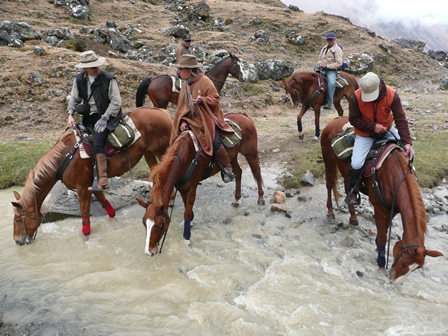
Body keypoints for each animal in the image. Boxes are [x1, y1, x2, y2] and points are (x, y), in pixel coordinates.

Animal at [11, 107, 173, 244]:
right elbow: (106, 204)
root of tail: (161, 112)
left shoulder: (82, 188)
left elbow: (85, 214)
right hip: (149, 153)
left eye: (18, 219)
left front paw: (85, 237)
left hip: (162, 151)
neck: (65, 158)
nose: (18, 241)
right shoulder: (92, 185)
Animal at [136, 111, 266, 256]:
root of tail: (244, 116)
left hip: (250, 153)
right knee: (238, 172)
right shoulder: (182, 187)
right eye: (144, 223)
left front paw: (186, 237)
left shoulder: (192, 188)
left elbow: (186, 212)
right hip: (232, 156)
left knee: (257, 173)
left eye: (159, 225)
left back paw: (261, 198)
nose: (149, 252)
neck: (185, 157)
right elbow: (186, 206)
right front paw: (191, 222)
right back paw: (236, 199)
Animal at [320, 117, 442, 284]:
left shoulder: (392, 209)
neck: (392, 174)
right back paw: (330, 212)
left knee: (347, 188)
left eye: (416, 269)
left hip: (346, 172)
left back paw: (353, 217)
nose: (395, 283)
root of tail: (333, 121)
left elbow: (384, 229)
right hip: (329, 162)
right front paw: (381, 263)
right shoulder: (378, 207)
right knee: (329, 184)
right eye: (403, 262)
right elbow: (384, 236)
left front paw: (378, 249)